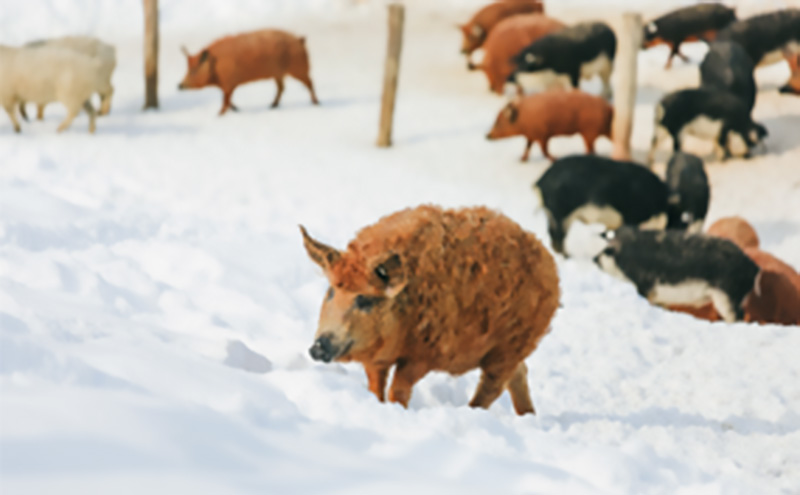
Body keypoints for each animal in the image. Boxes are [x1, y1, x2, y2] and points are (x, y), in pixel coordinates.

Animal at [178, 28, 318, 115]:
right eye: (188, 68)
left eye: (193, 71)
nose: (179, 85)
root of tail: (300, 40)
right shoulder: (227, 85)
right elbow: (227, 99)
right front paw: (236, 110)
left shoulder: (229, 83)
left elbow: (225, 100)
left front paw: (219, 114)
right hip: (278, 74)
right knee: (281, 87)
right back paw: (272, 106)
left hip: (299, 68)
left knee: (309, 82)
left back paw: (316, 103)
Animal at [536, 155, 668, 256]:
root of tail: (541, 181)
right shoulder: (632, 216)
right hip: (560, 215)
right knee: (558, 239)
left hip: (554, 216)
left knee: (552, 236)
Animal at [596, 228, 760, 324]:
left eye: (605, 251)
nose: (595, 259)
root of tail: (754, 266)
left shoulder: (643, 285)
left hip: (727, 297)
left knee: (738, 316)